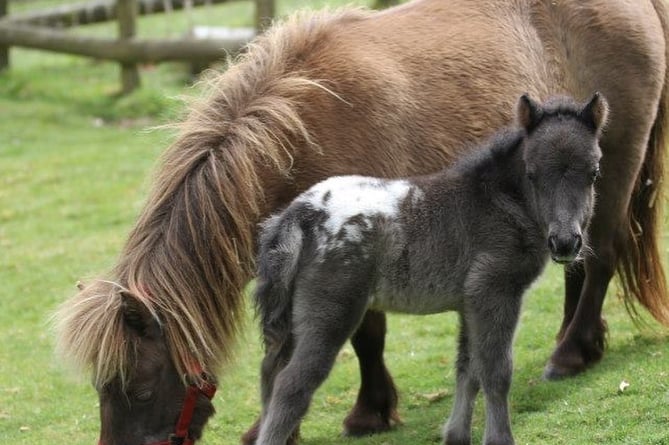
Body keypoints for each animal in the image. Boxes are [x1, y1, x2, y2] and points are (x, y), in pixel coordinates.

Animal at [53, 1, 668, 442]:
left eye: (138, 387)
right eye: (102, 388)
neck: (300, 128)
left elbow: (367, 336)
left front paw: (368, 411)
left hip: (613, 169)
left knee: (601, 255)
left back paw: (570, 352)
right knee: (577, 264)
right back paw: (579, 342)